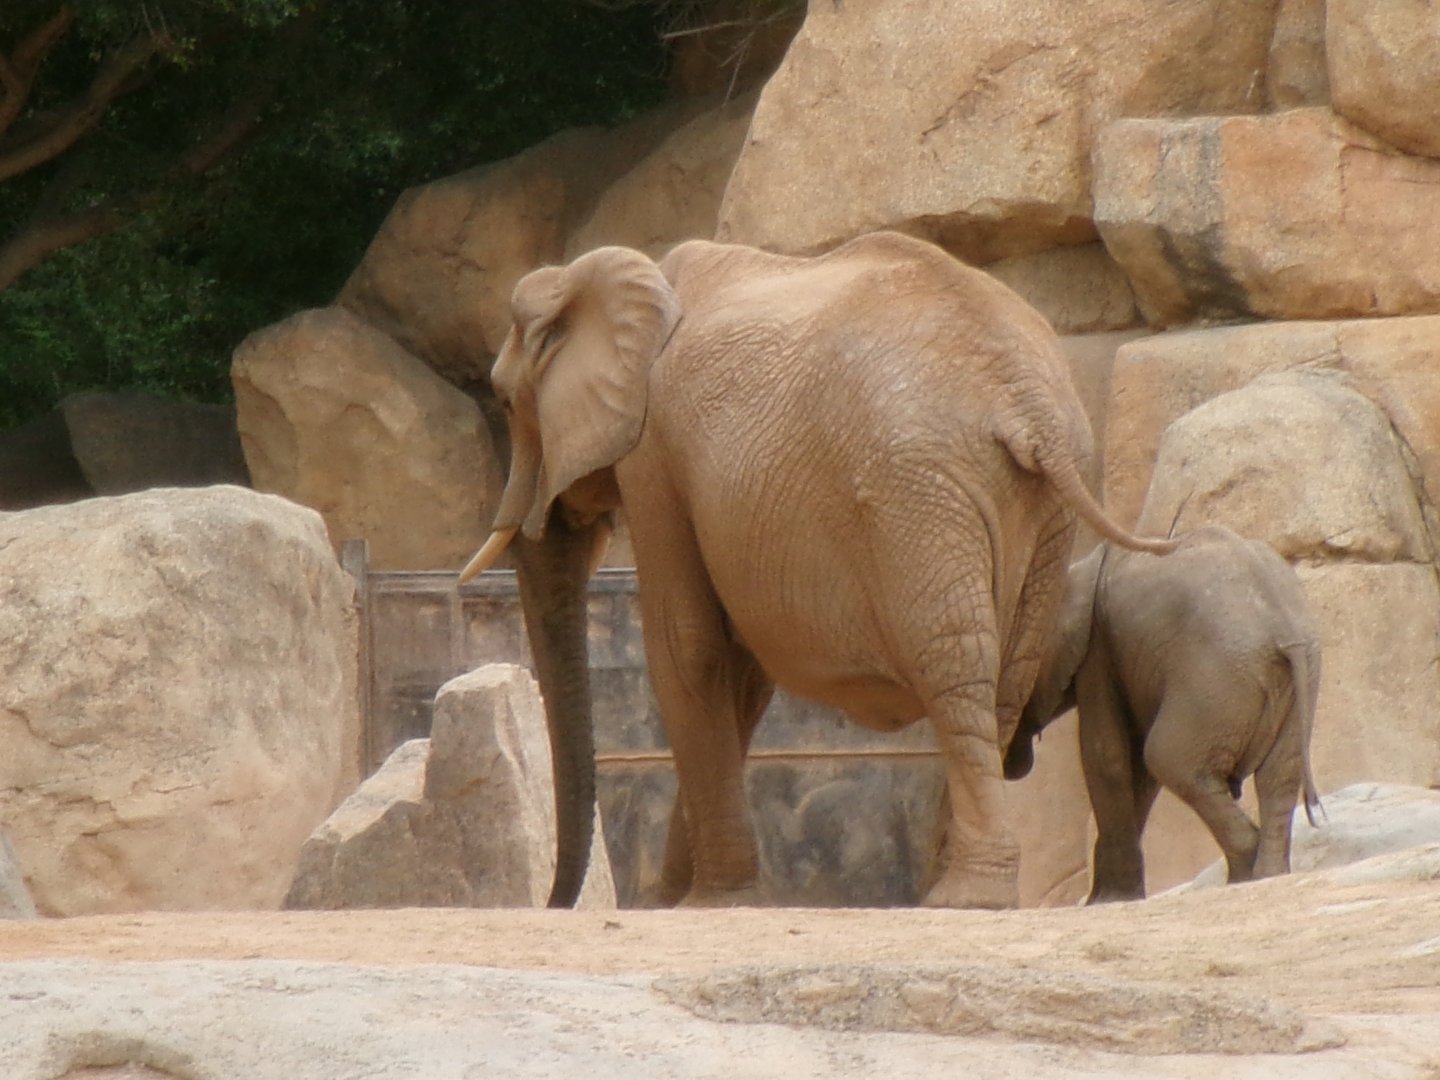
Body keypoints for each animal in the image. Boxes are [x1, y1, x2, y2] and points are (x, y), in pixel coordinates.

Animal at [460, 230, 1176, 909]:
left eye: (502, 399)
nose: (554, 904)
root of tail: (1026, 404)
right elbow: (741, 675)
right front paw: (677, 900)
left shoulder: (656, 452)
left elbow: (685, 647)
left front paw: (704, 902)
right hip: (1041, 509)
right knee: (1005, 677)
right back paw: (955, 888)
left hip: (918, 494)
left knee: (954, 665)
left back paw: (966, 898)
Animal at [1003, 524, 1324, 903]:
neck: (1080, 570)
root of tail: (1286, 631)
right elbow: (1136, 772)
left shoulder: (1100, 647)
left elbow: (1108, 756)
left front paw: (1107, 900)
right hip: (1294, 683)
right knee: (1279, 777)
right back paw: (1265, 875)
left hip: (1216, 679)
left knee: (1168, 758)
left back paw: (1245, 872)